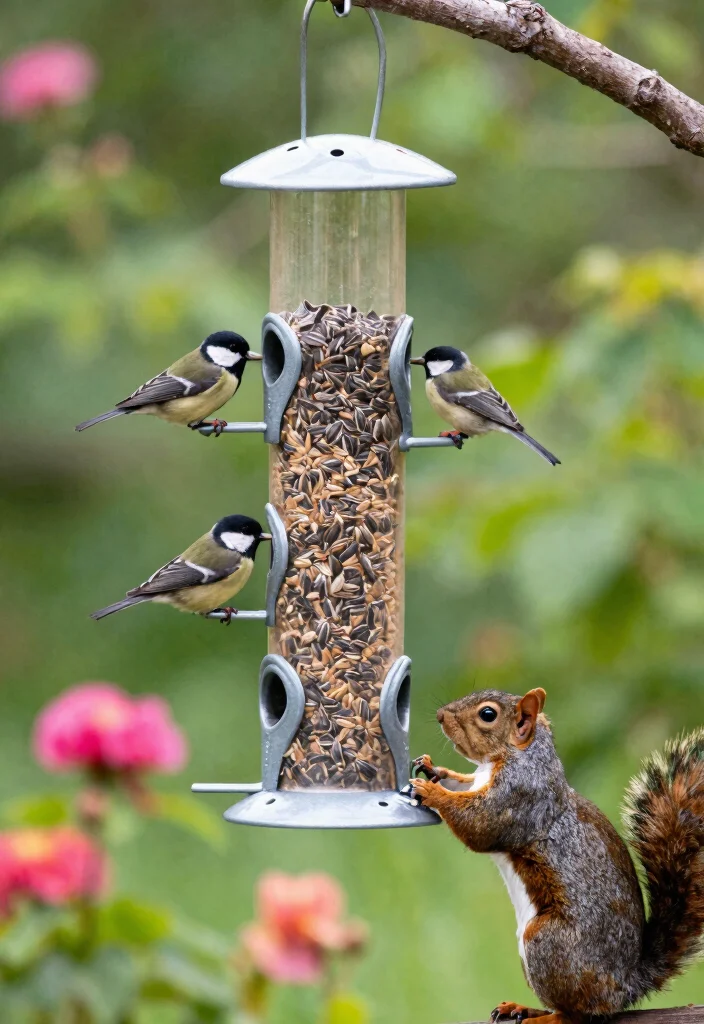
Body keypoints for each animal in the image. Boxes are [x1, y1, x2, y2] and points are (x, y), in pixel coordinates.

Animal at [409, 687, 704, 1024]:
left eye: (487, 714)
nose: (440, 715)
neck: (516, 756)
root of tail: (625, 986)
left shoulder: (519, 798)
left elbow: (479, 825)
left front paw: (432, 792)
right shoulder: (479, 782)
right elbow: (461, 783)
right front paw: (432, 769)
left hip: (548, 944)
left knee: (577, 1014)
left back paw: (543, 1017)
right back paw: (523, 1008)